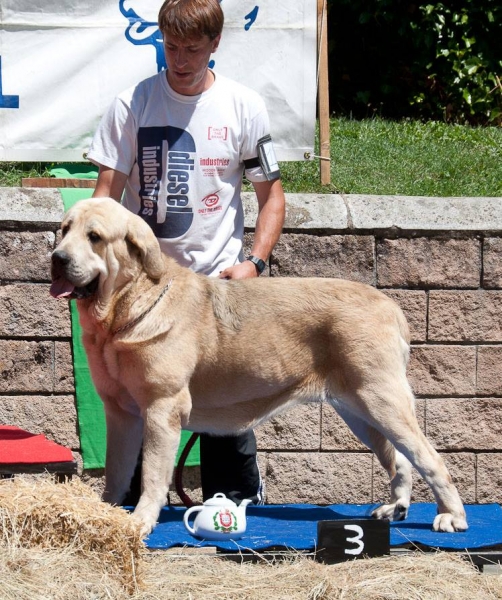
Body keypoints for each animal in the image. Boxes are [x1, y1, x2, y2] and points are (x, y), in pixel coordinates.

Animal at [50, 198, 466, 540]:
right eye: (64, 229)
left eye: (95, 237)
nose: (57, 257)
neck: (126, 309)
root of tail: (390, 305)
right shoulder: (121, 413)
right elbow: (118, 469)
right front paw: (104, 511)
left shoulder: (161, 409)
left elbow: (152, 473)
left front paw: (140, 521)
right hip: (360, 411)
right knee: (400, 460)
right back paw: (395, 508)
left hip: (382, 400)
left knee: (429, 458)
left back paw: (452, 516)